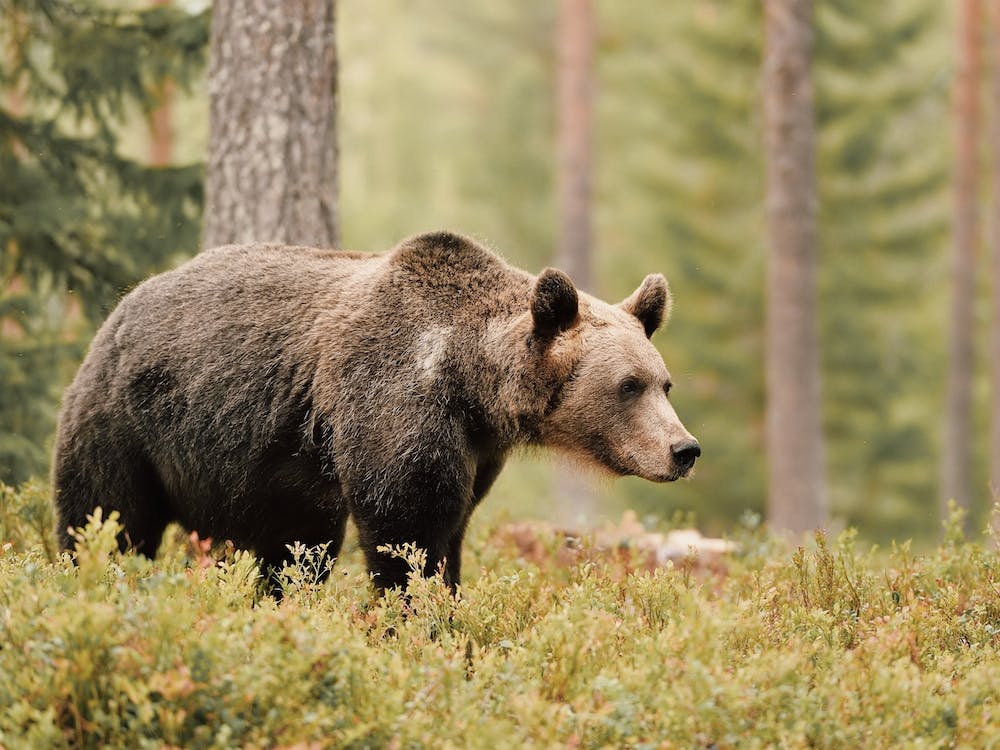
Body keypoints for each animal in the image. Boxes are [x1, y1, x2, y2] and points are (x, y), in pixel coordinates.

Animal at [53, 231, 699, 592]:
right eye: (628, 385)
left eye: (665, 384)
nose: (684, 450)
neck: (470, 384)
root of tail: (124, 302)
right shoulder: (393, 402)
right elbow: (405, 529)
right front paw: (411, 617)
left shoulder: (476, 450)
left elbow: (448, 531)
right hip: (127, 417)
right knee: (106, 513)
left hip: (261, 468)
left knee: (287, 548)